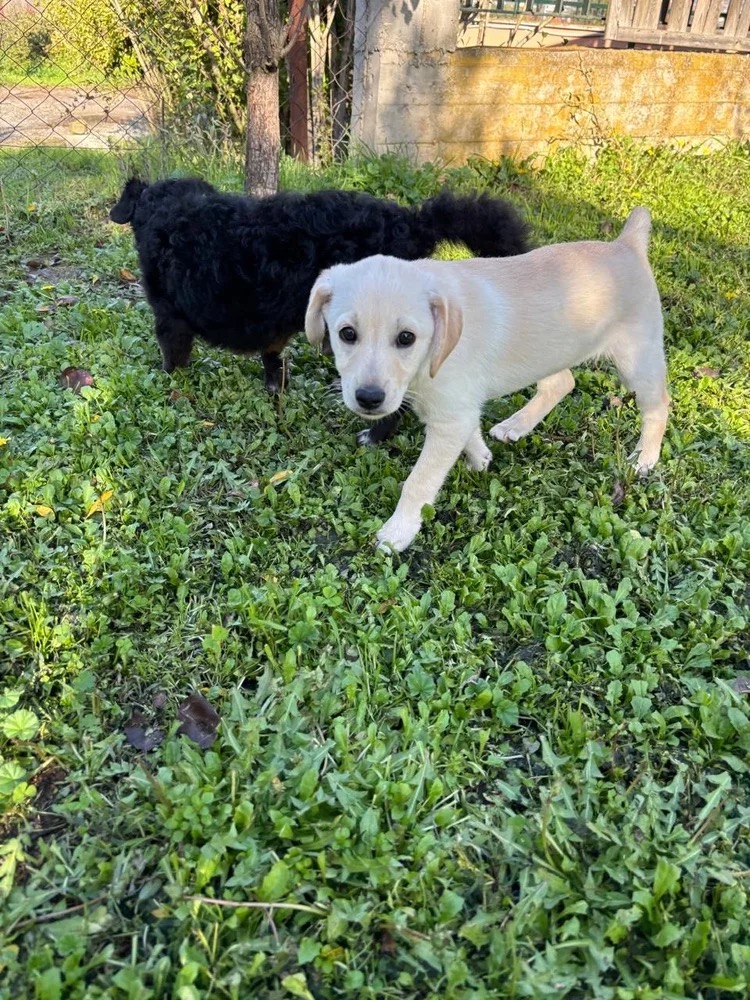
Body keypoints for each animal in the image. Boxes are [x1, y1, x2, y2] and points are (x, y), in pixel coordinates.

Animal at [109, 177, 529, 445]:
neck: (172, 214)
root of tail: (412, 222)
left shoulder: (169, 319)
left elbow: (173, 361)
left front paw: (168, 384)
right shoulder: (272, 325)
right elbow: (273, 362)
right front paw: (274, 394)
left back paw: (375, 436)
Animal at [305, 207, 669, 552]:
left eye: (406, 338)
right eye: (347, 334)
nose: (368, 398)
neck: (435, 352)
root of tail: (626, 244)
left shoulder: (449, 414)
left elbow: (419, 481)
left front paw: (398, 532)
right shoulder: (453, 408)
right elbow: (469, 428)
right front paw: (480, 456)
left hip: (637, 358)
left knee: (658, 407)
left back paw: (645, 458)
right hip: (548, 352)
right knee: (562, 383)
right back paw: (516, 425)